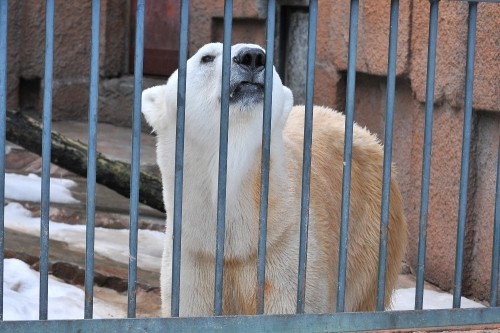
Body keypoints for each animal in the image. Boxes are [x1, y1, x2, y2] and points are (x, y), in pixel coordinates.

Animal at [141, 42, 406, 316]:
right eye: (206, 57)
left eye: (264, 54)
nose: (252, 56)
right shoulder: (194, 255)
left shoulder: (287, 246)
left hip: (369, 235)